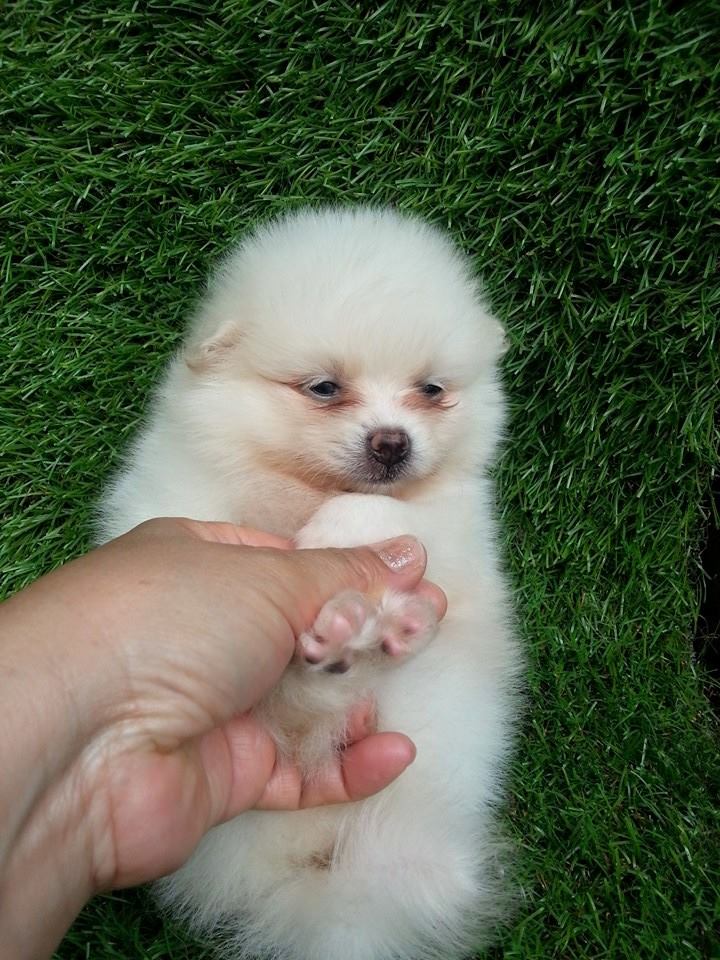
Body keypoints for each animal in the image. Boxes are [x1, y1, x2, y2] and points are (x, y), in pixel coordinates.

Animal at [98, 206, 521, 960]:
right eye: (324, 388)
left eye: (432, 389)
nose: (392, 443)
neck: (298, 487)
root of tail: (307, 862)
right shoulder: (180, 495)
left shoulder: (456, 525)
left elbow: (395, 519)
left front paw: (336, 535)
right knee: (295, 695)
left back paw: (384, 626)